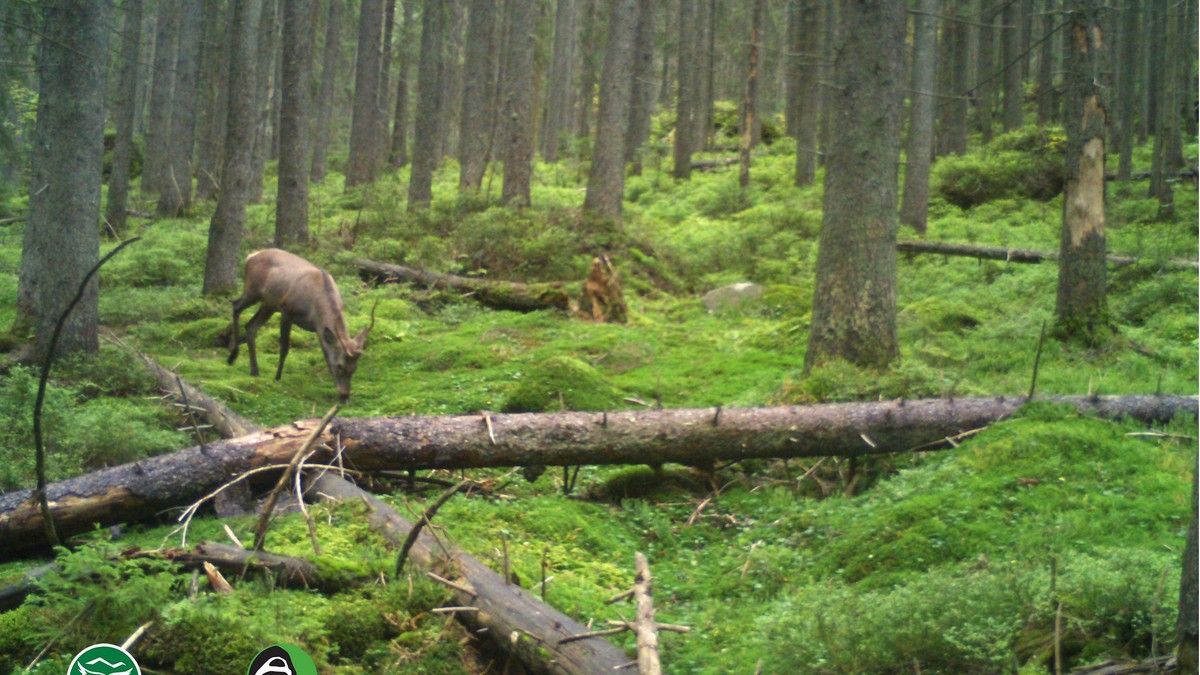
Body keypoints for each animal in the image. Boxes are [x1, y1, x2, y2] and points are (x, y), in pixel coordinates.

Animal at [227, 249, 375, 402]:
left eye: (354, 368)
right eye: (340, 366)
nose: (344, 395)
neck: (315, 309)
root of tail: (251, 256)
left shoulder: (318, 328)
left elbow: (325, 351)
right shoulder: (287, 310)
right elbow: (284, 348)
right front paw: (277, 377)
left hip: (269, 304)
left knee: (251, 326)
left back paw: (254, 370)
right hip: (253, 291)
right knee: (235, 305)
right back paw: (232, 355)